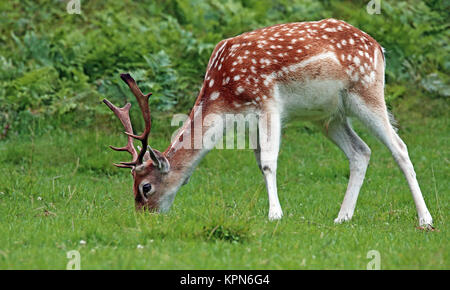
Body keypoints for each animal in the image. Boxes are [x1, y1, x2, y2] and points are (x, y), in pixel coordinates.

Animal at [103, 18, 434, 229]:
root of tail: (379, 47)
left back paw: (425, 220)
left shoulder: (268, 101)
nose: (144, 218)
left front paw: (275, 214)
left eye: (145, 187)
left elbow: (269, 161)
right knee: (361, 151)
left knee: (399, 147)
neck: (224, 95)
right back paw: (342, 217)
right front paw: (275, 210)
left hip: (367, 90)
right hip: (329, 117)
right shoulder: (249, 121)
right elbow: (259, 160)